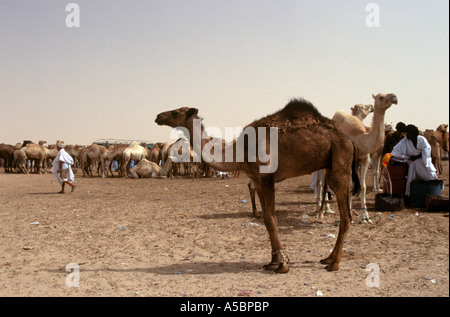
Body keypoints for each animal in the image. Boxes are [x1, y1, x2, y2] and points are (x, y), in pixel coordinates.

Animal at [156, 99, 360, 272]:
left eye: (175, 112)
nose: (158, 116)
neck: (239, 151)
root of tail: (349, 140)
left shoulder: (267, 178)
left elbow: (270, 218)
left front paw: (283, 264)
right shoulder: (258, 181)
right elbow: (268, 220)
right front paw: (273, 262)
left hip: (340, 162)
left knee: (346, 216)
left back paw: (334, 263)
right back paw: (328, 258)